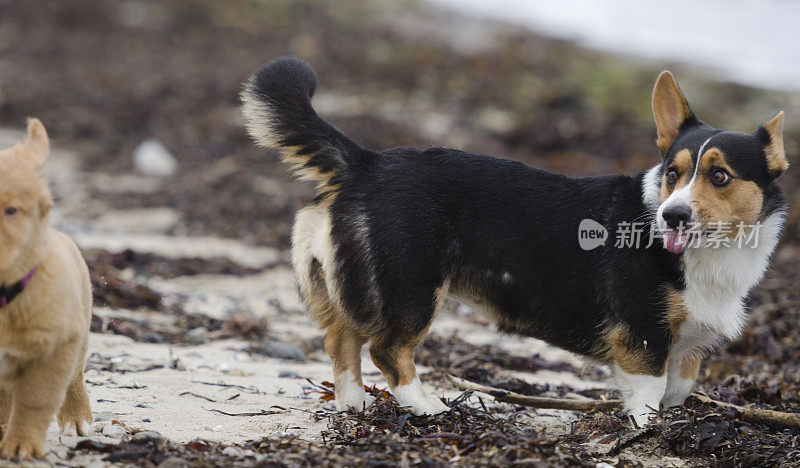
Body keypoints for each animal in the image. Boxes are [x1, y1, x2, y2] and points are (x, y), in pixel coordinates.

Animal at [0, 119, 92, 458]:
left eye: (11, 211)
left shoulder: (54, 348)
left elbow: (35, 401)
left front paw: (22, 445)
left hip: (79, 336)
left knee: (75, 379)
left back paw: (78, 421)